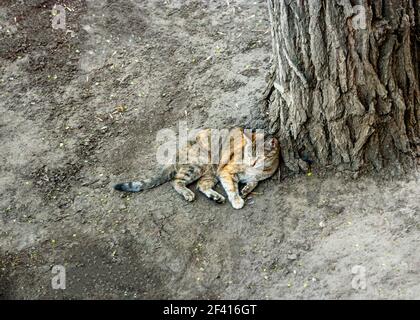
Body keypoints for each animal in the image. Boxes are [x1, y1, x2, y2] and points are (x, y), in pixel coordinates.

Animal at [113, 127, 280, 210]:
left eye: (259, 158)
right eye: (248, 154)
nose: (251, 163)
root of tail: (179, 150)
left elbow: (254, 182)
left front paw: (246, 189)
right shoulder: (226, 171)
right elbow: (232, 188)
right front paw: (237, 200)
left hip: (210, 172)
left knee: (201, 185)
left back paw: (216, 197)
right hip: (199, 164)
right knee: (176, 181)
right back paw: (188, 193)